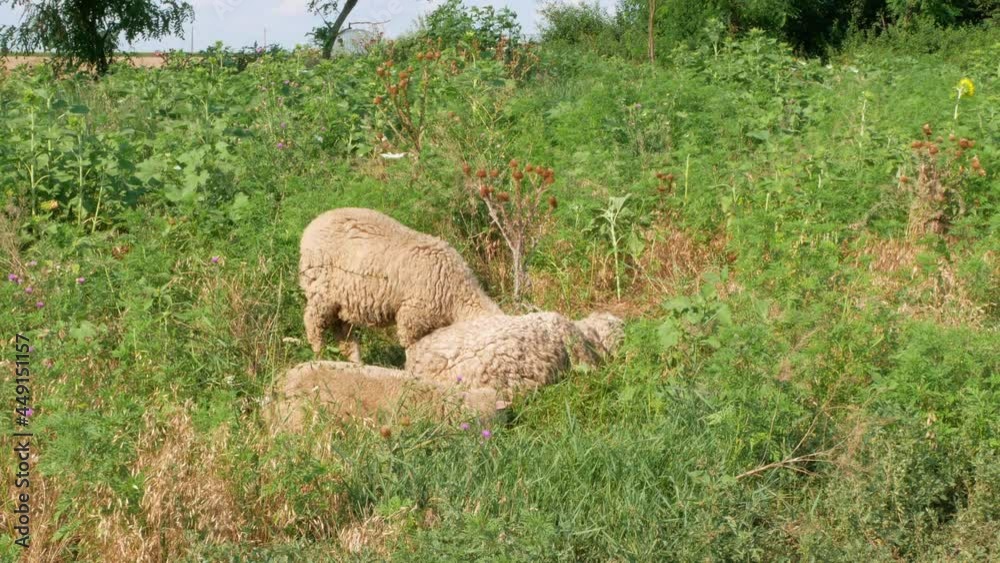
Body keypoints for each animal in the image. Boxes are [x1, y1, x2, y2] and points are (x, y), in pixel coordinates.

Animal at [299, 208, 502, 362]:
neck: (457, 294)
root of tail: (312, 225)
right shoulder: (412, 315)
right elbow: (411, 347)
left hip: (340, 300)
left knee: (343, 333)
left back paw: (356, 363)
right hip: (321, 288)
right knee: (313, 322)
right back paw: (320, 355)